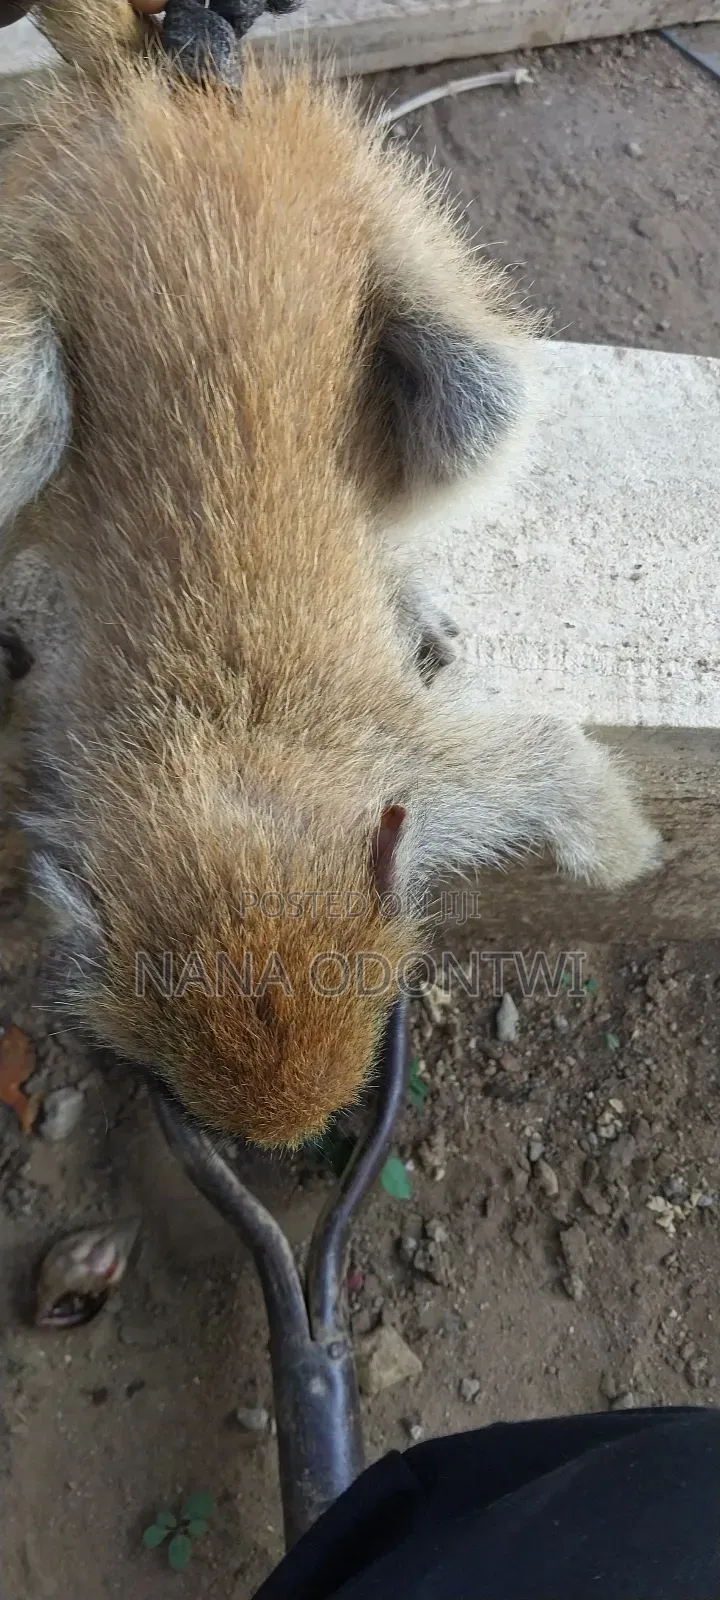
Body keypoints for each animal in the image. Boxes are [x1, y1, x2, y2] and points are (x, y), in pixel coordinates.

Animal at [0, 0, 661, 1147]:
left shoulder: (421, 780)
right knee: (30, 415)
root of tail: (175, 95)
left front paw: (624, 853)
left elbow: (548, 762)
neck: (226, 758)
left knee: (479, 392)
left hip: (358, 192)